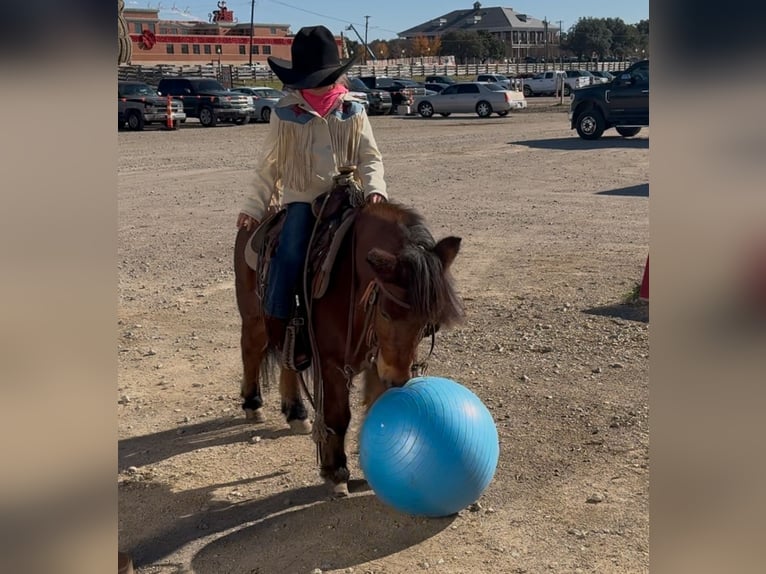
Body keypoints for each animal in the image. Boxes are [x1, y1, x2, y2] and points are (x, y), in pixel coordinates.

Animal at [232, 192, 462, 496]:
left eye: (428, 324)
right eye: (386, 313)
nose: (398, 379)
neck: (350, 279)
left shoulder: (377, 359)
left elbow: (376, 408)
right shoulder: (332, 363)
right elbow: (338, 416)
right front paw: (336, 472)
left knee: (287, 359)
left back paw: (296, 412)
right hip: (254, 316)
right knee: (251, 351)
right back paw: (253, 403)